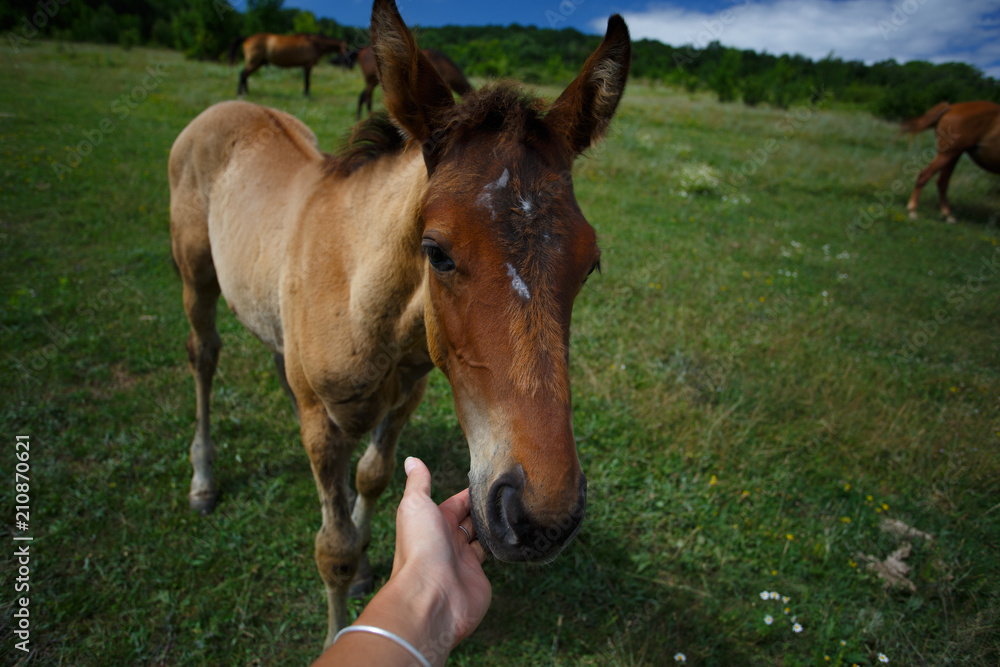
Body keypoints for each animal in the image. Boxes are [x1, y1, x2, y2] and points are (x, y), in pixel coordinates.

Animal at [170, 0, 630, 649]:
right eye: (435, 251)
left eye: (589, 263)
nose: (542, 516)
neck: (364, 300)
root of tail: (224, 108)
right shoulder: (321, 421)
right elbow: (333, 548)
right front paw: (339, 629)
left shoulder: (406, 393)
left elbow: (373, 477)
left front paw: (368, 560)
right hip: (196, 275)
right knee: (204, 355)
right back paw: (203, 480)